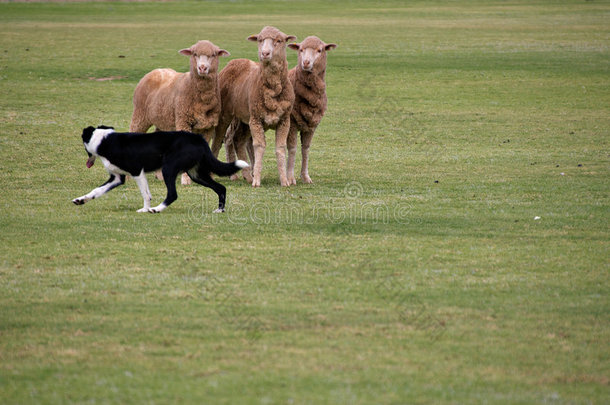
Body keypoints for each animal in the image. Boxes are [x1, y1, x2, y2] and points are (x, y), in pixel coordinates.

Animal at [73, 125, 247, 215]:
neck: (105, 141)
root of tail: (198, 138)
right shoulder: (117, 178)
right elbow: (96, 190)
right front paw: (81, 200)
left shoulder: (137, 171)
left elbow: (145, 194)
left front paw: (145, 209)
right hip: (196, 174)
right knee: (221, 188)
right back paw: (220, 210)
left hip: (168, 168)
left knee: (173, 194)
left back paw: (156, 209)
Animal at [129, 38, 229, 184]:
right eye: (194, 54)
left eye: (213, 55)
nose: (202, 68)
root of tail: (155, 70)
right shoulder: (183, 121)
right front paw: (186, 179)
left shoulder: (208, 127)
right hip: (139, 115)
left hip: (163, 120)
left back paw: (160, 175)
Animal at [209, 26, 294, 187]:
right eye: (260, 39)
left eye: (279, 40)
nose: (265, 53)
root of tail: (234, 62)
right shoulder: (256, 118)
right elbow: (259, 146)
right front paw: (257, 181)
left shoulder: (284, 119)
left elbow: (280, 148)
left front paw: (284, 180)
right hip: (225, 115)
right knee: (217, 141)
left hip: (244, 119)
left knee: (238, 140)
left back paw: (247, 175)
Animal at [224, 36, 338, 185]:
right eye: (301, 50)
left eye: (320, 50)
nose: (306, 63)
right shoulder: (292, 123)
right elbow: (292, 148)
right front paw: (290, 177)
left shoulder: (312, 125)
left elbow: (306, 149)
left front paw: (305, 176)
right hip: (235, 118)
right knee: (229, 139)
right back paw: (234, 174)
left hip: (245, 121)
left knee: (242, 141)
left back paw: (251, 171)